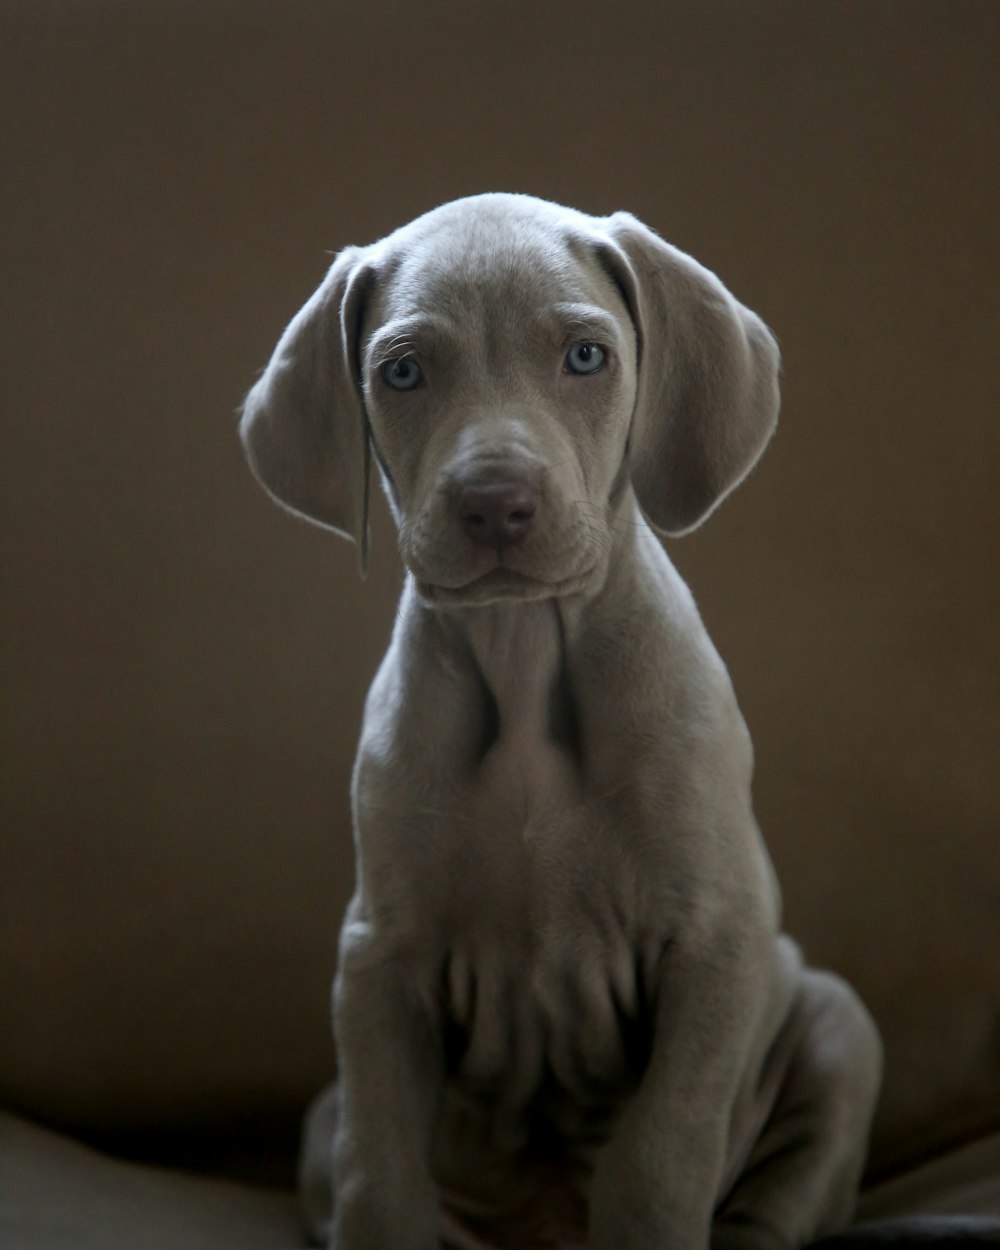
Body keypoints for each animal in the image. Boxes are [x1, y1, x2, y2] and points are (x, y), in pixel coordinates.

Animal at [242, 192, 885, 1250]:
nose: (495, 504)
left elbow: (661, 1155)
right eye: (402, 371)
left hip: (836, 1023)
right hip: (320, 1112)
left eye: (587, 357)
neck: (524, 656)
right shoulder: (380, 957)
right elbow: (381, 1175)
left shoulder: (717, 935)